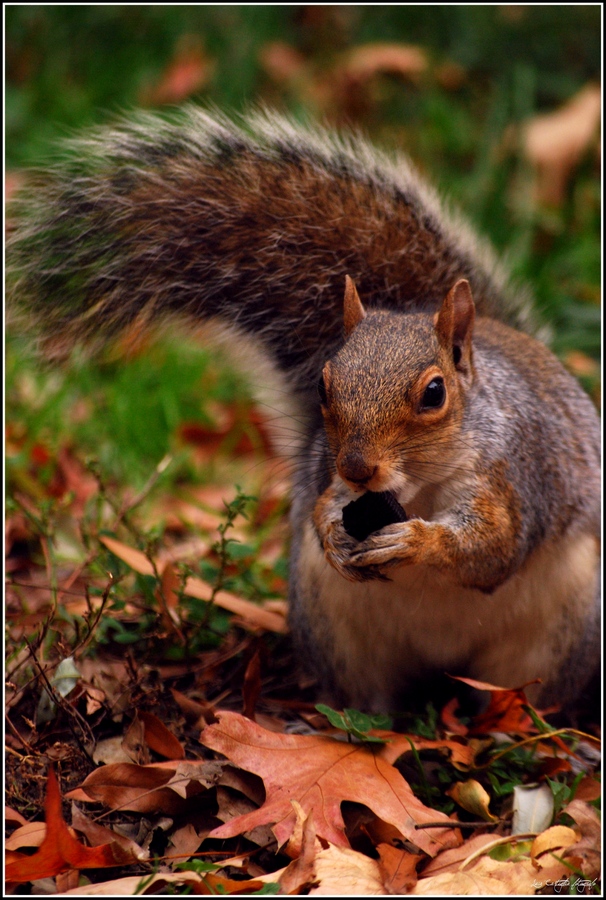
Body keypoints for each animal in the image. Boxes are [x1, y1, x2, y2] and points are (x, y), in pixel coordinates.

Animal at [7, 107, 600, 720]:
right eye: (322, 383)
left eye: (435, 394)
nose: (359, 468)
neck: (418, 487)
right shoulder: (331, 476)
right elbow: (323, 508)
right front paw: (333, 533)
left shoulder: (513, 476)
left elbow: (495, 548)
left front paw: (418, 542)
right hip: (334, 628)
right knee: (367, 694)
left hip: (555, 636)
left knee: (520, 692)